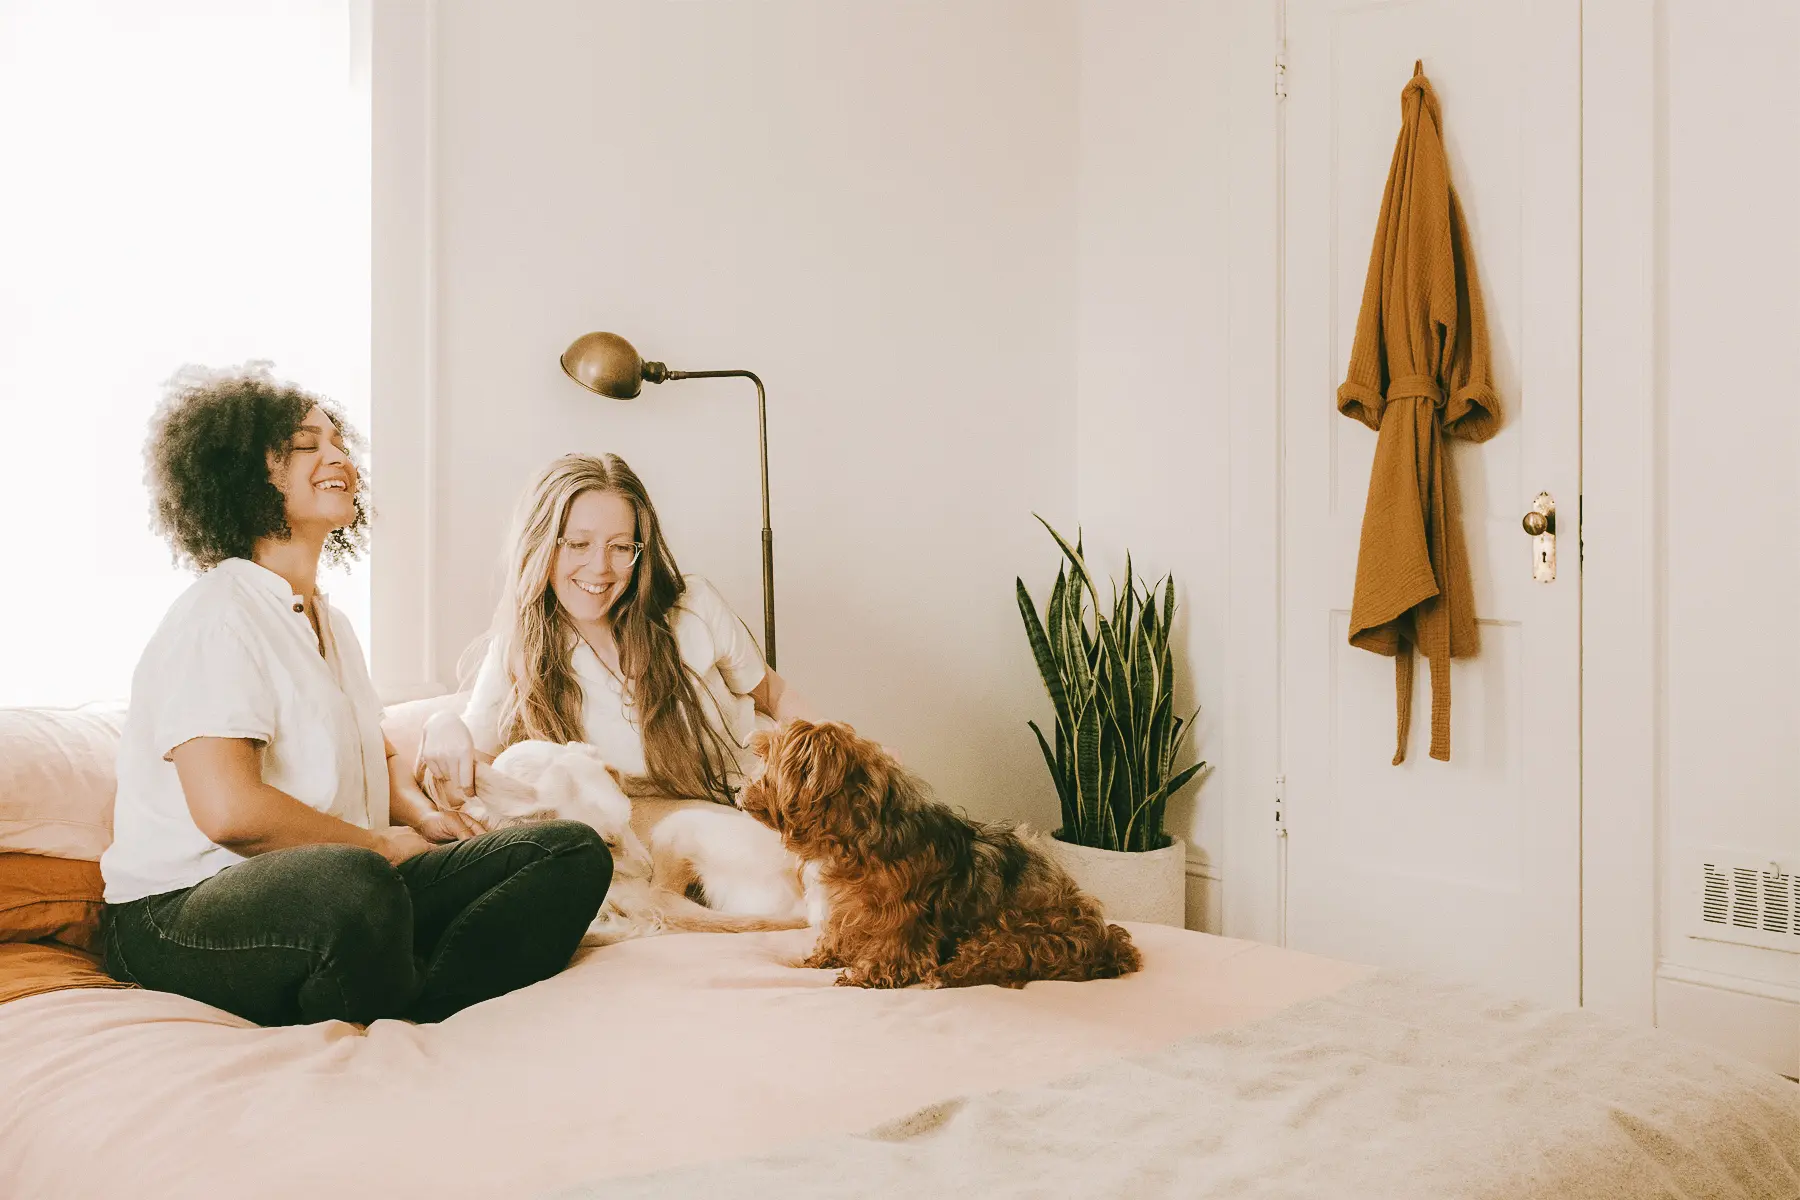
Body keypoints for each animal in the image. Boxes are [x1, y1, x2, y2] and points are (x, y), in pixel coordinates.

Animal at [741, 719, 1137, 993]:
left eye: (767, 764)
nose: (738, 788)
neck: (850, 839)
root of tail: (1107, 943)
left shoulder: (900, 915)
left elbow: (891, 946)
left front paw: (867, 974)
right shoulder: (844, 909)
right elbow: (836, 935)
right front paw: (822, 957)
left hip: (1017, 930)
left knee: (998, 959)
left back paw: (946, 974)